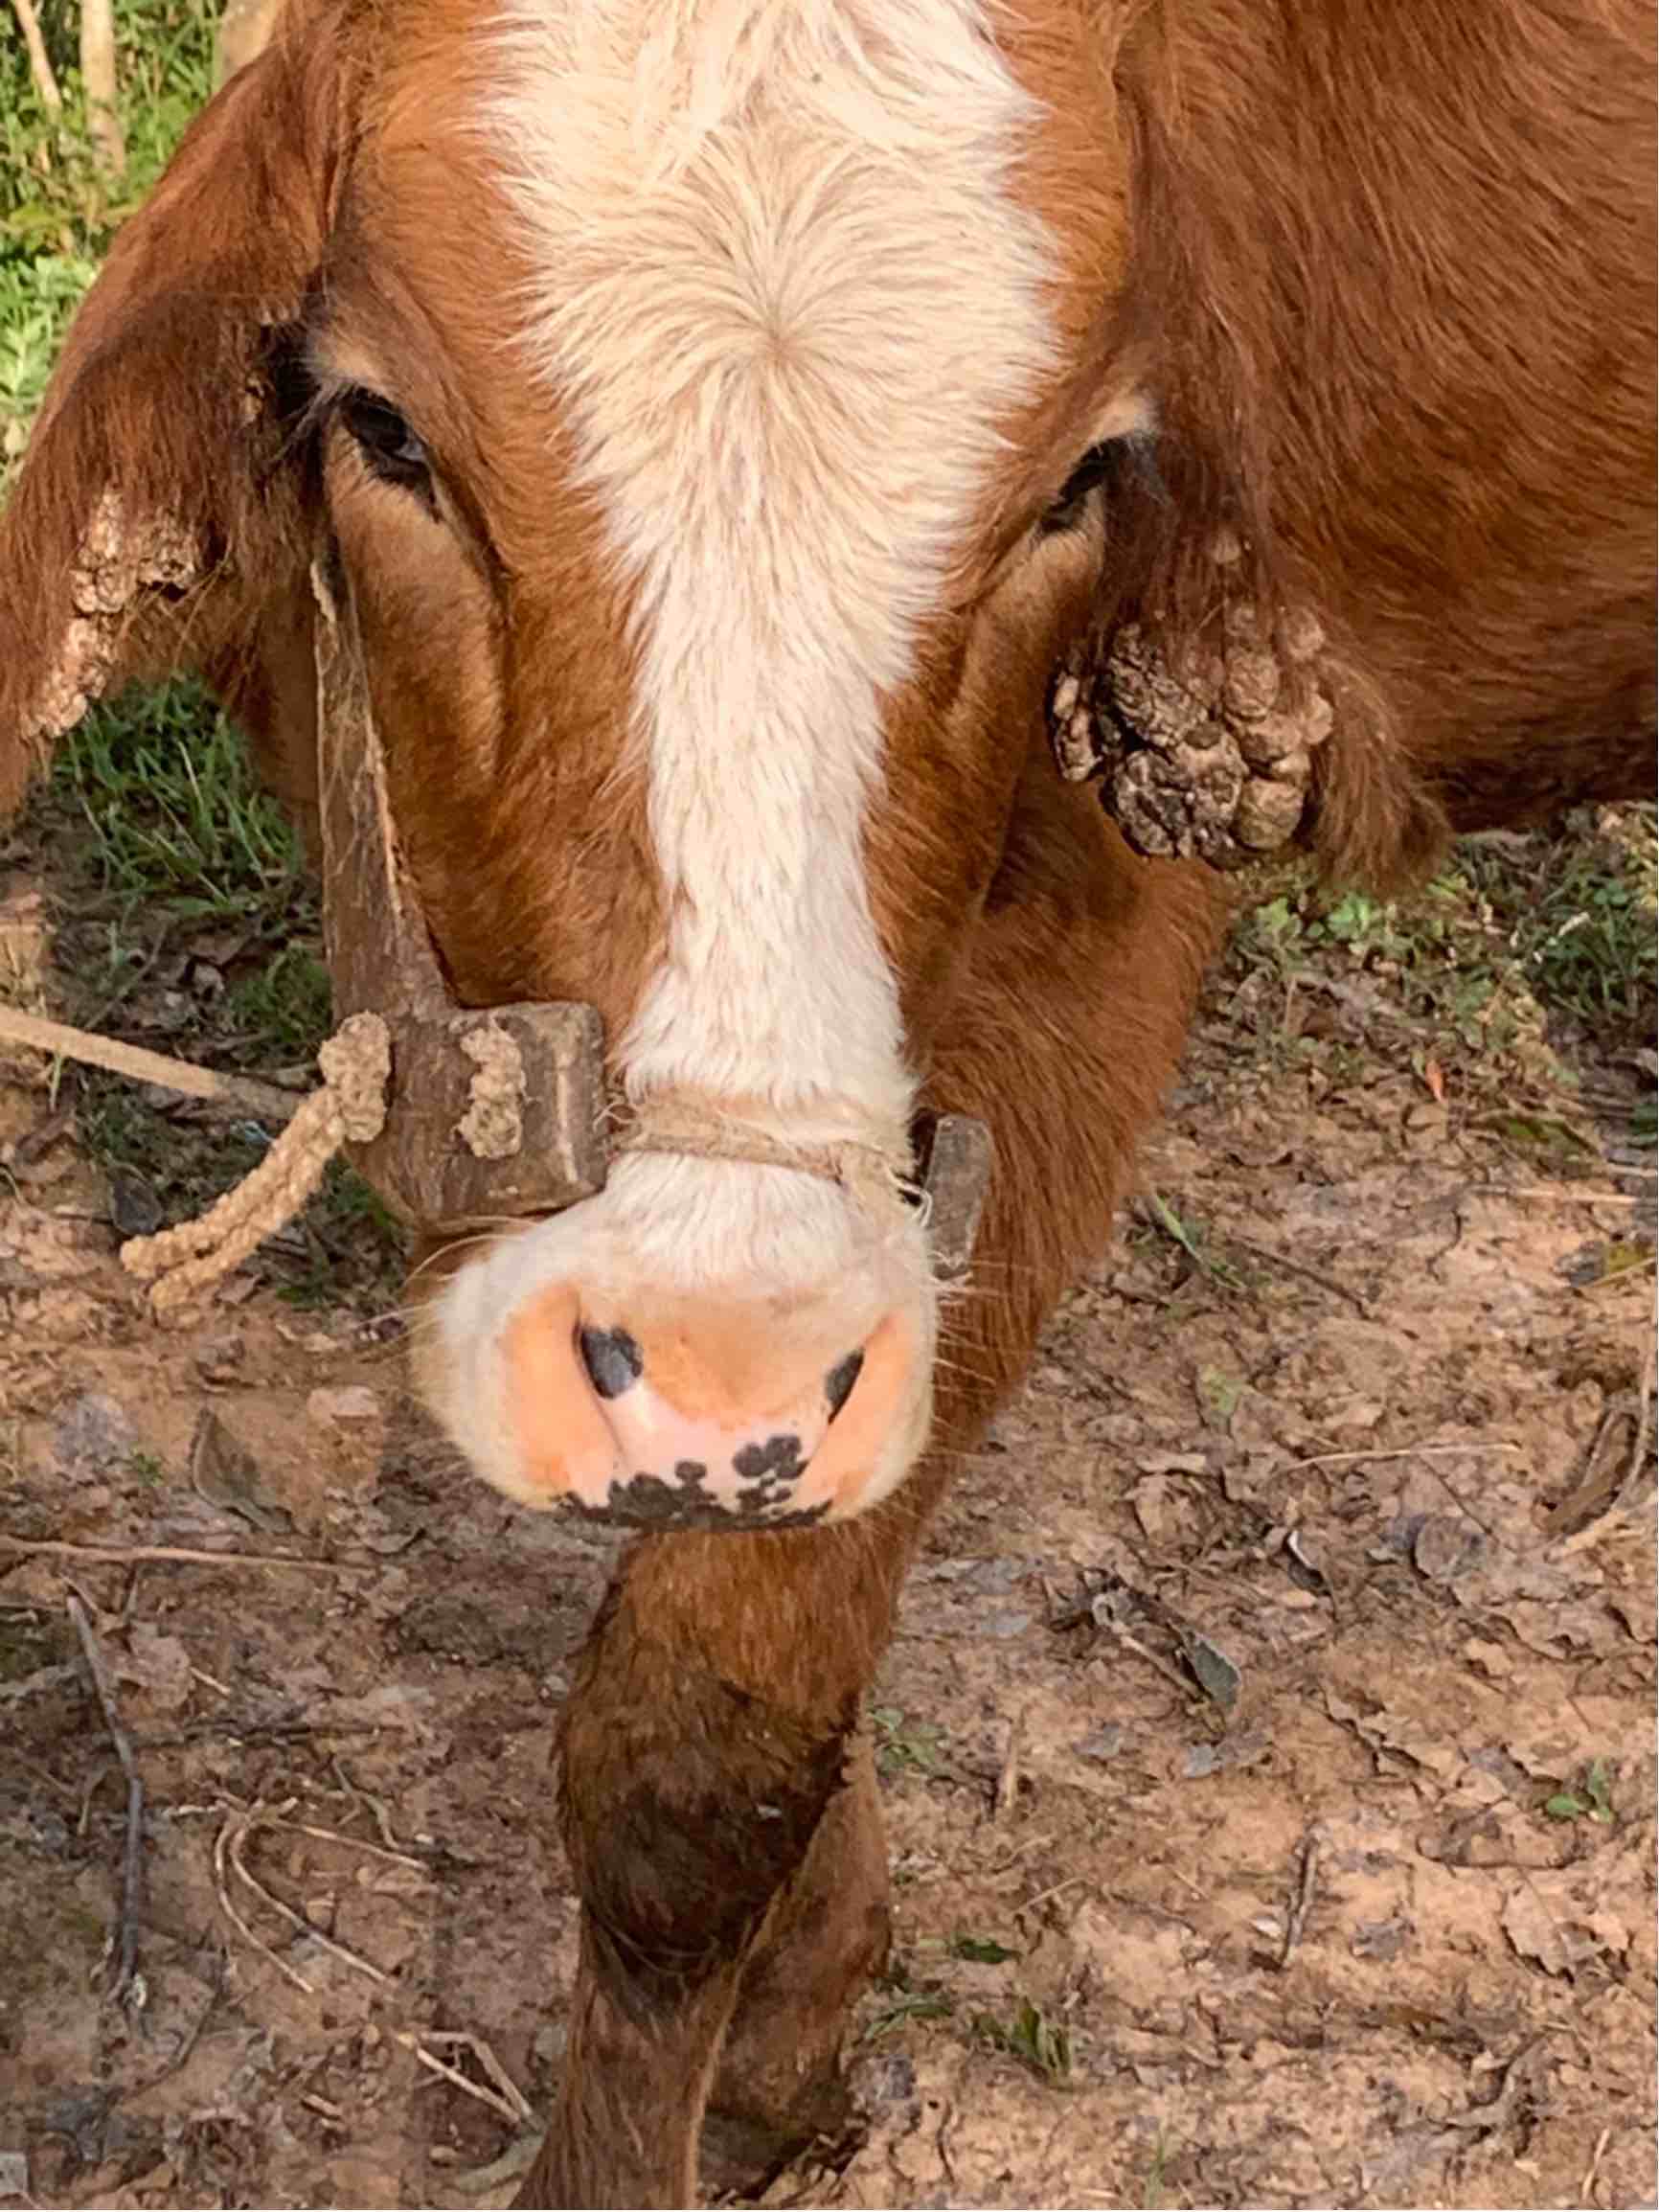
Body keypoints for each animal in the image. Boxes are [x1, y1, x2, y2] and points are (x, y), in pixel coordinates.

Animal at [0, 0, 1654, 2202]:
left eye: (1077, 483)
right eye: (385, 433)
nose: (714, 1369)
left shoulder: (1107, 910)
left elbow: (698, 1746)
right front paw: (802, 2015)